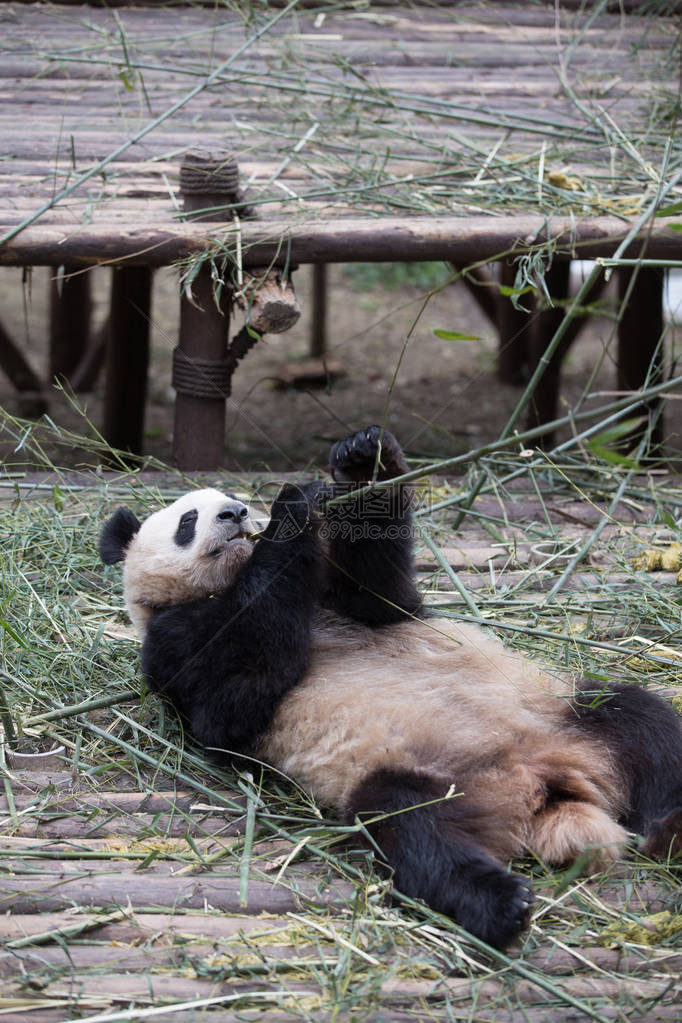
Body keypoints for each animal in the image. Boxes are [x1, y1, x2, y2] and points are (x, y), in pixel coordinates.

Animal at [100, 425, 682, 949]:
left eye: (235, 501)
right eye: (188, 520)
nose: (237, 514)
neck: (227, 583)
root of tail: (544, 789)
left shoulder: (346, 601)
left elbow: (380, 588)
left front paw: (361, 459)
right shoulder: (175, 643)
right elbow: (231, 701)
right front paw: (292, 510)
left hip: (559, 711)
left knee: (641, 721)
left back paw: (670, 824)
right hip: (416, 773)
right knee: (413, 830)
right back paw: (501, 903)